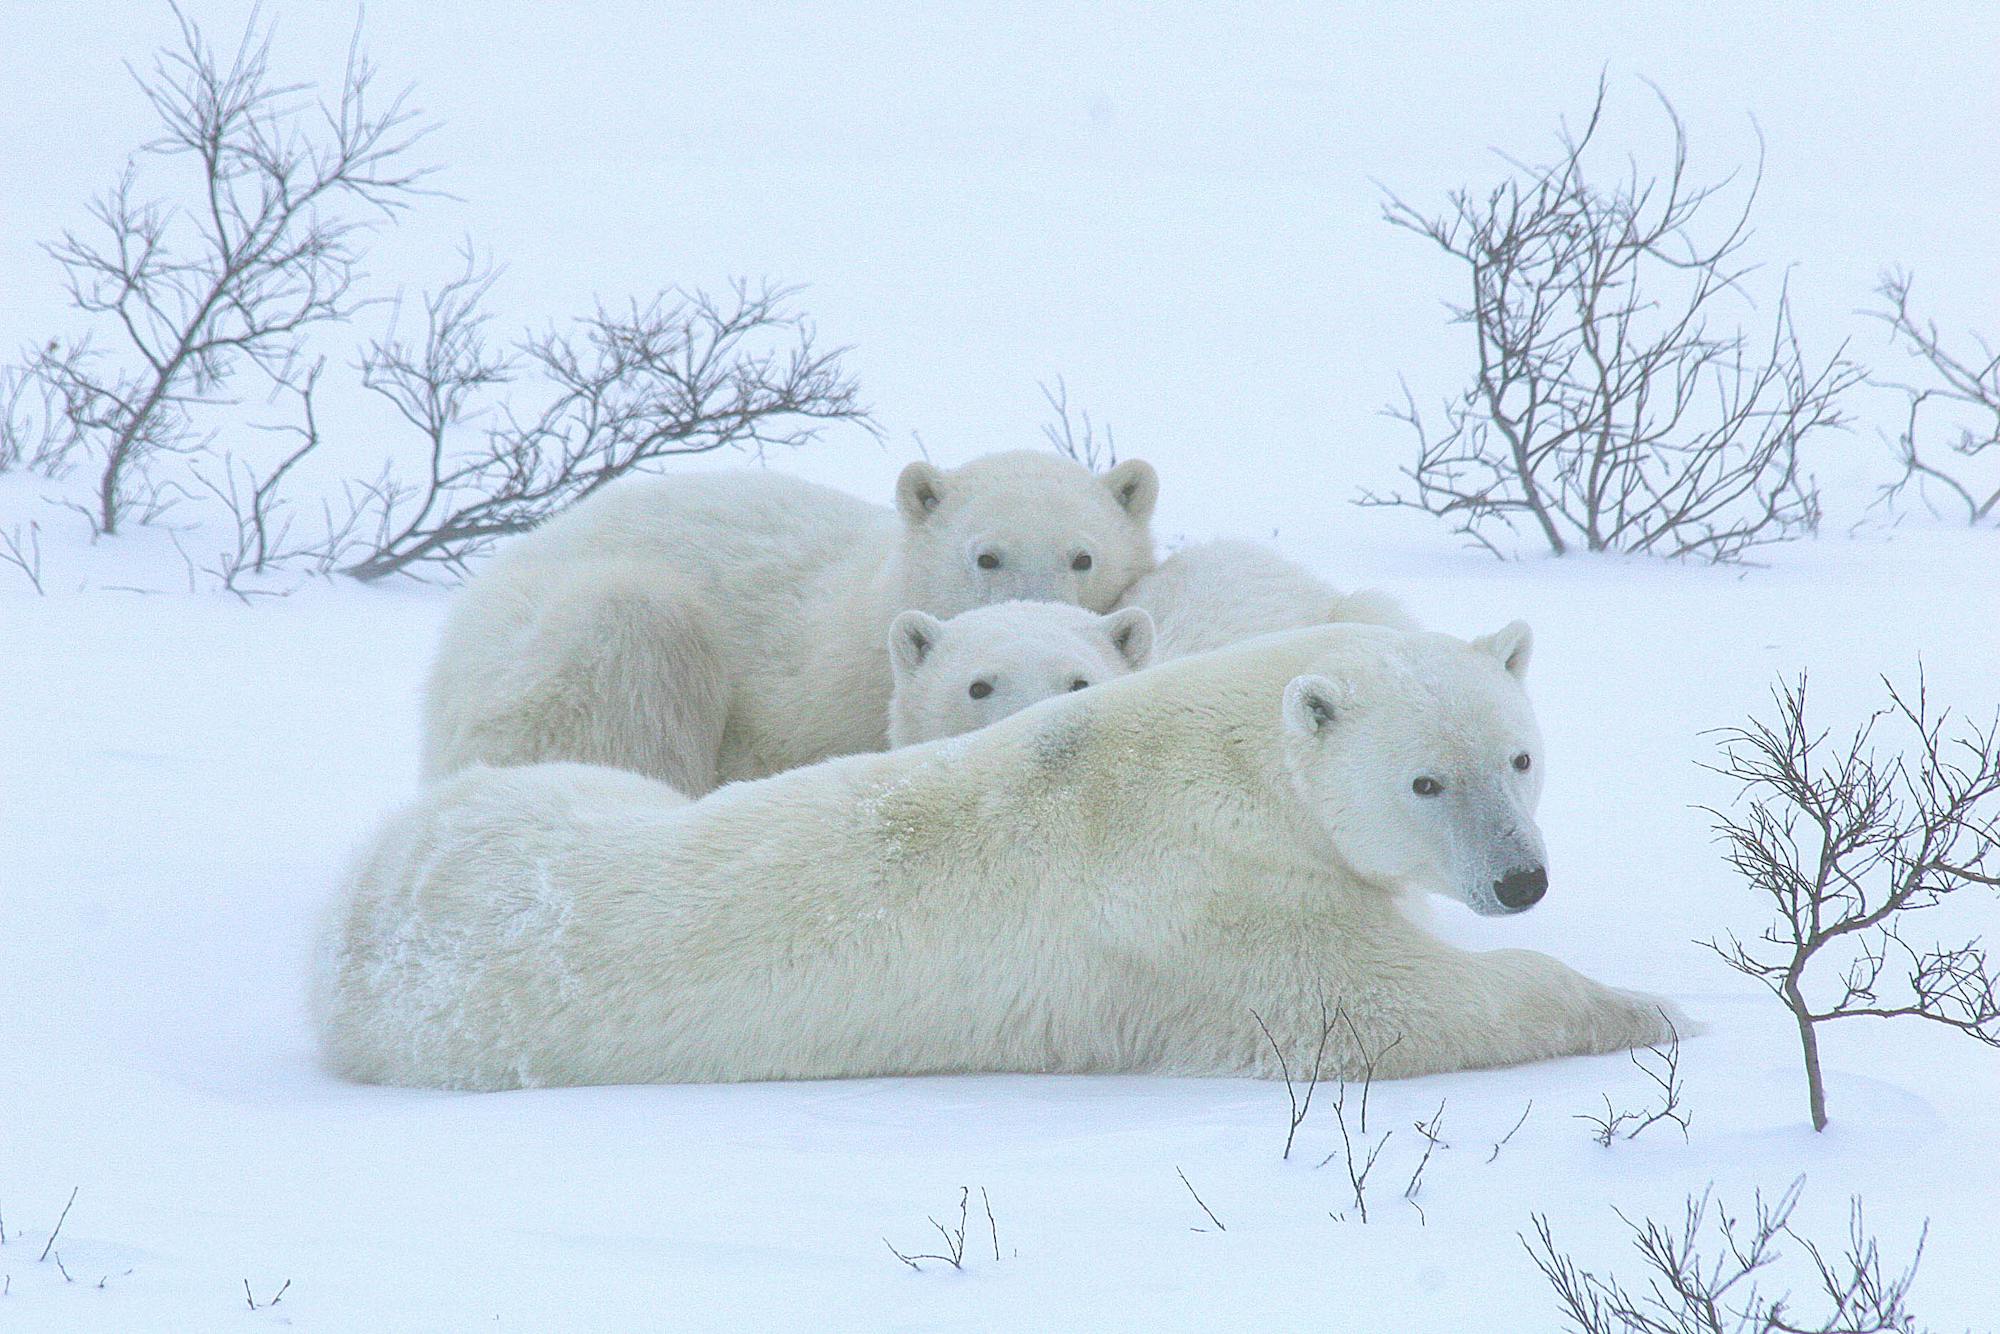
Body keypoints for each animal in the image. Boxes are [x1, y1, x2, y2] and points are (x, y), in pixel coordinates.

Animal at [318, 620, 1681, 1090]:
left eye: (1518, 757)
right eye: (1423, 780)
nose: (1519, 879)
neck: (1220, 759)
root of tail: (348, 919)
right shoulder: (1204, 910)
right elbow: (1384, 1006)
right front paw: (1653, 1007)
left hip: (574, 792)